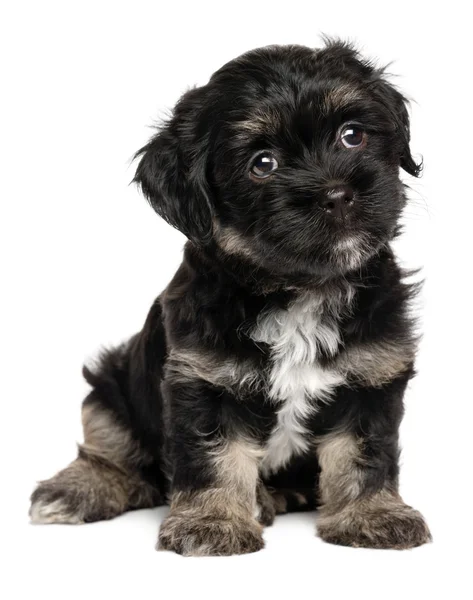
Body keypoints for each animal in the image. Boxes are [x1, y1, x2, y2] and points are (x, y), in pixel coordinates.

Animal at [27, 42, 430, 556]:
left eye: (351, 135)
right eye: (262, 164)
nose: (337, 194)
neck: (297, 290)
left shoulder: (373, 373)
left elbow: (365, 449)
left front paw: (372, 514)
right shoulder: (203, 379)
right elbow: (214, 454)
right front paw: (212, 522)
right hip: (112, 383)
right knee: (114, 451)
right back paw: (77, 489)